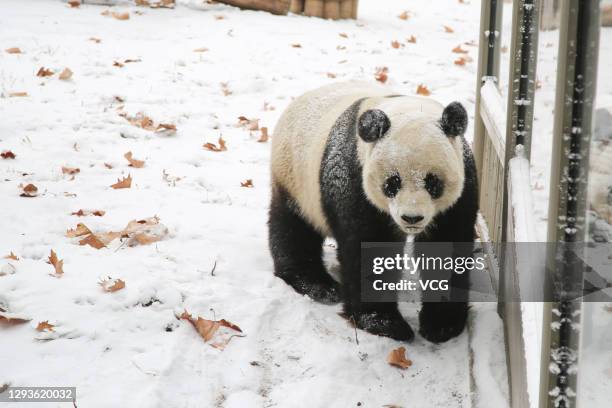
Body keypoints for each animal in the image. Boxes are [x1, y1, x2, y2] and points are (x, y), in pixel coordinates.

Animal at [268, 81, 478, 342]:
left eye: (432, 182)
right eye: (393, 182)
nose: (412, 218)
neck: (407, 110)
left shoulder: (461, 188)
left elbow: (447, 247)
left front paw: (442, 324)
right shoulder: (354, 177)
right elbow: (369, 248)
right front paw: (384, 323)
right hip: (295, 178)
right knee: (293, 229)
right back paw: (318, 285)